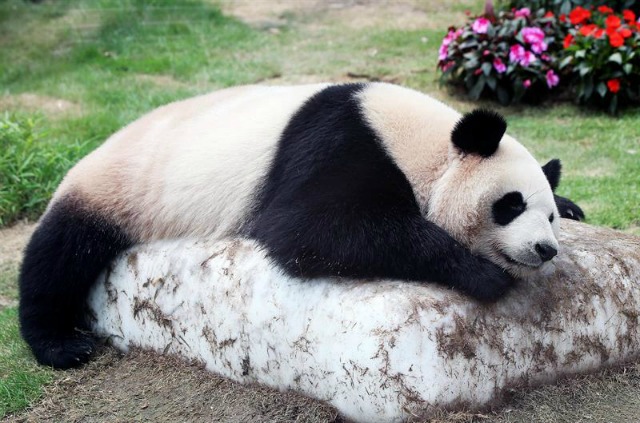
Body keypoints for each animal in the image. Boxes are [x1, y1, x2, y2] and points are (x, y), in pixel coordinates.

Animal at [18, 81, 584, 370]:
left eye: (549, 218)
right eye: (509, 205)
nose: (545, 249)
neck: (420, 141)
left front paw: (573, 203)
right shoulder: (340, 142)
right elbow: (312, 230)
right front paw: (482, 274)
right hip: (118, 189)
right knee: (59, 254)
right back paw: (60, 345)